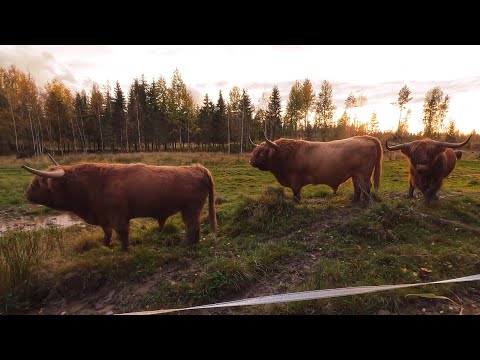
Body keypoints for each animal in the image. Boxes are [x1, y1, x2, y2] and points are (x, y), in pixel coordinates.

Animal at [21, 154, 217, 250]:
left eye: (37, 182)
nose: (27, 194)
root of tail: (197, 168)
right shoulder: (103, 217)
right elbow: (107, 232)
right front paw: (105, 245)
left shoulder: (118, 216)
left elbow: (122, 232)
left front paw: (124, 248)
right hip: (192, 210)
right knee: (196, 226)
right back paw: (194, 243)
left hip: (190, 209)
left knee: (192, 225)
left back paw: (185, 244)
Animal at [251, 134, 382, 204]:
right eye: (254, 151)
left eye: (262, 153)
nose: (250, 161)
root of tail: (365, 137)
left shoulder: (295, 180)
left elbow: (296, 192)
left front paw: (296, 203)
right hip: (355, 174)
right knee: (358, 187)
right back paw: (354, 201)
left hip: (363, 173)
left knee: (366, 186)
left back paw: (365, 203)